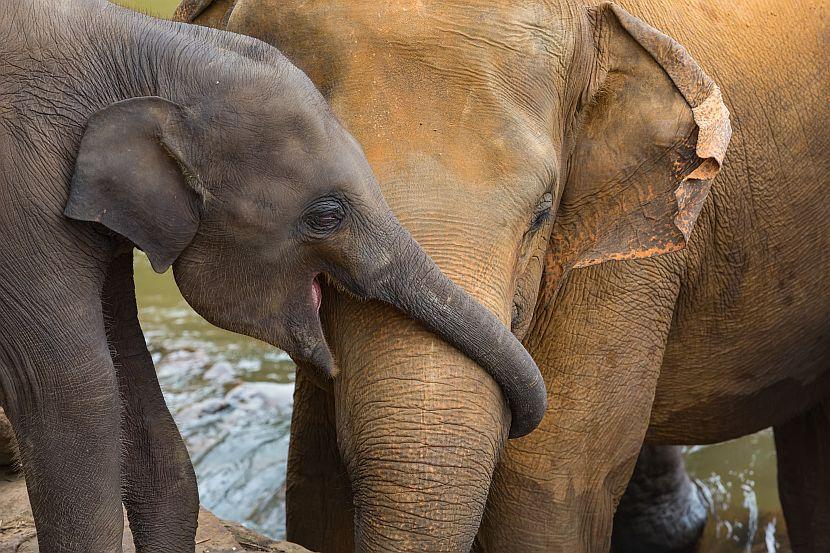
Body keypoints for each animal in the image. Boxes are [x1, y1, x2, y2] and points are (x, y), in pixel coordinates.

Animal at [0, 0, 544, 548]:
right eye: (326, 216)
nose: (520, 425)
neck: (147, 48)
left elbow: (134, 389)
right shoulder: (25, 203)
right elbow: (76, 396)